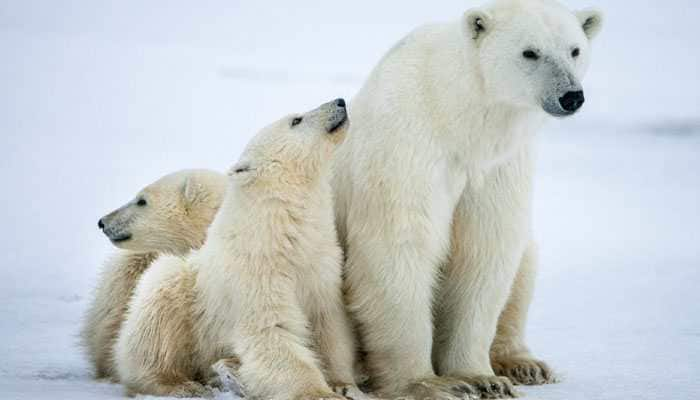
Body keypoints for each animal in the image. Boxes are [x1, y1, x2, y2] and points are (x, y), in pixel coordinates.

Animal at [334, 0, 600, 398]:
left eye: (575, 49)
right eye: (530, 52)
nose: (571, 96)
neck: (458, 119)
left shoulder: (498, 167)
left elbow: (483, 253)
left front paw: (482, 378)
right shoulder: (408, 148)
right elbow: (399, 249)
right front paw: (427, 383)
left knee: (524, 263)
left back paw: (524, 364)